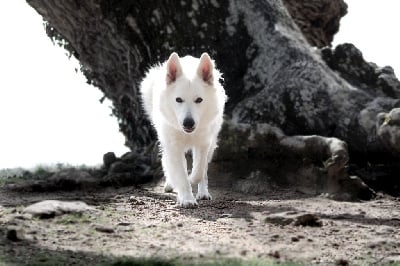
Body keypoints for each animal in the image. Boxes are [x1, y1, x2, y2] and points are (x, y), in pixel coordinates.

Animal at [140, 51, 228, 206]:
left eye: (199, 100)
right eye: (178, 100)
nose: (188, 123)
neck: (187, 134)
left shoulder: (203, 143)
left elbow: (199, 170)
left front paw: (192, 179)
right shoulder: (174, 147)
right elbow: (180, 174)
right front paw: (186, 198)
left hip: (211, 144)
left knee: (204, 171)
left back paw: (203, 193)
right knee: (167, 162)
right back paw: (171, 184)